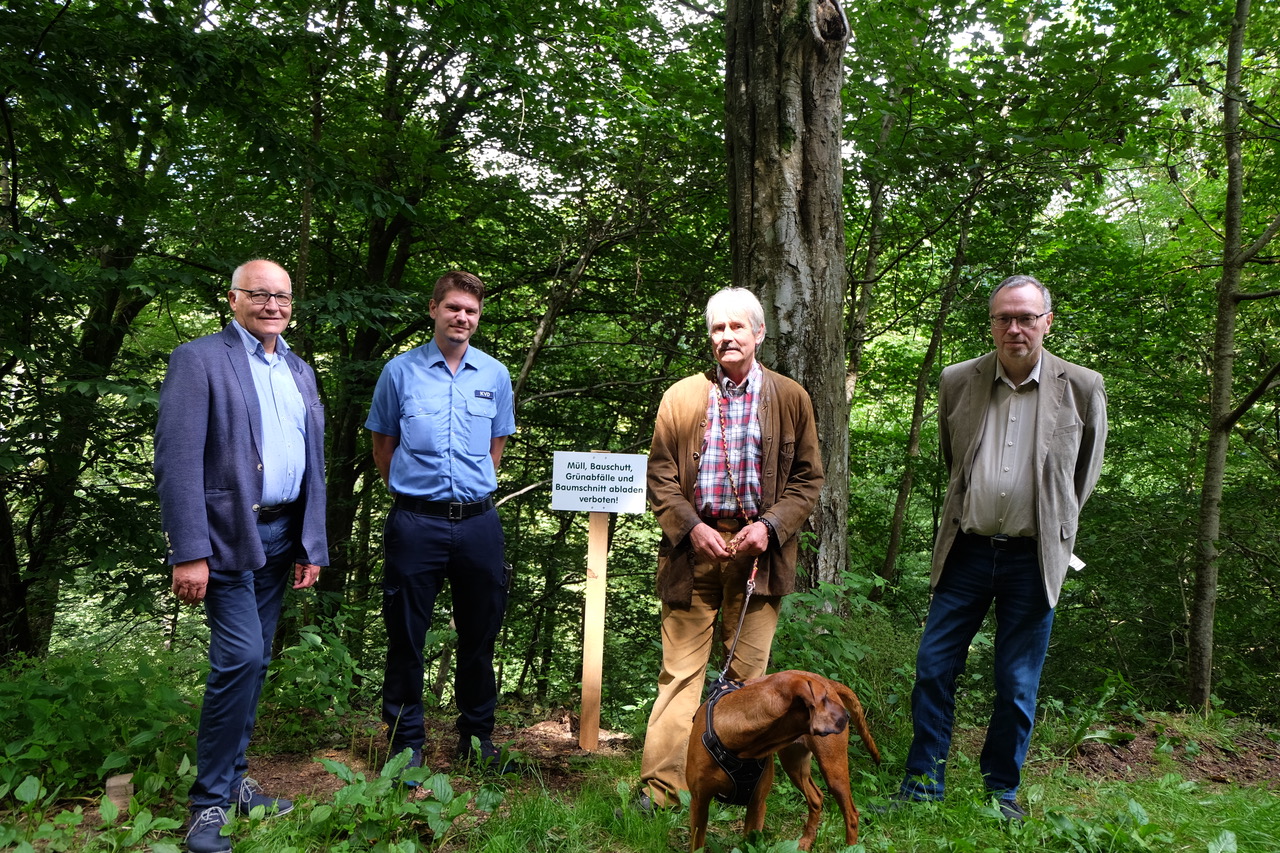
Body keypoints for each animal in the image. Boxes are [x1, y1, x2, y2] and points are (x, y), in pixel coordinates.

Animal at [691, 666, 880, 845]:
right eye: (824, 698)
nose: (847, 716)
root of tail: (826, 679)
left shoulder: (757, 806)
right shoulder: (699, 803)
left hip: (833, 771)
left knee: (851, 814)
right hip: (794, 765)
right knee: (816, 797)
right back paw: (806, 841)